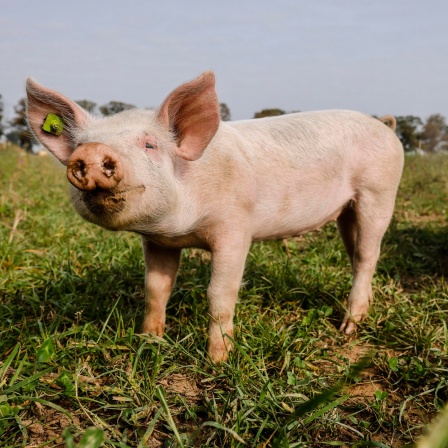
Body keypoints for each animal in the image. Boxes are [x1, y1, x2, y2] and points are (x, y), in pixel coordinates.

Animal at [26, 72, 404, 362]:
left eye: (150, 145)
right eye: (82, 145)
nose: (91, 152)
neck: (180, 228)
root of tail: (384, 126)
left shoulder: (235, 228)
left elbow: (220, 294)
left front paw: (217, 361)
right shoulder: (157, 241)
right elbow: (156, 288)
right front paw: (150, 341)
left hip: (379, 192)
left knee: (368, 255)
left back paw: (349, 327)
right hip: (346, 210)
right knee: (356, 254)